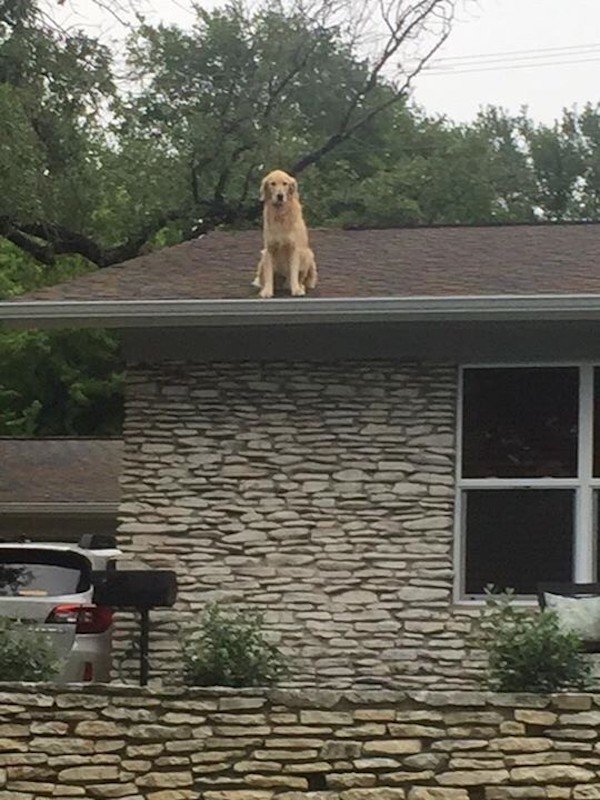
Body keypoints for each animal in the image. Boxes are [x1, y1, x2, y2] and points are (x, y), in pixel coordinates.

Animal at [253, 167, 318, 298]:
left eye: (285, 183)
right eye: (272, 183)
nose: (280, 196)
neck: (280, 214)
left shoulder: (294, 248)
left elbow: (294, 272)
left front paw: (296, 289)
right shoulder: (269, 249)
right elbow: (268, 274)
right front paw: (267, 291)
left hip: (307, 254)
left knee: (300, 277)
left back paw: (300, 286)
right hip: (263, 256)